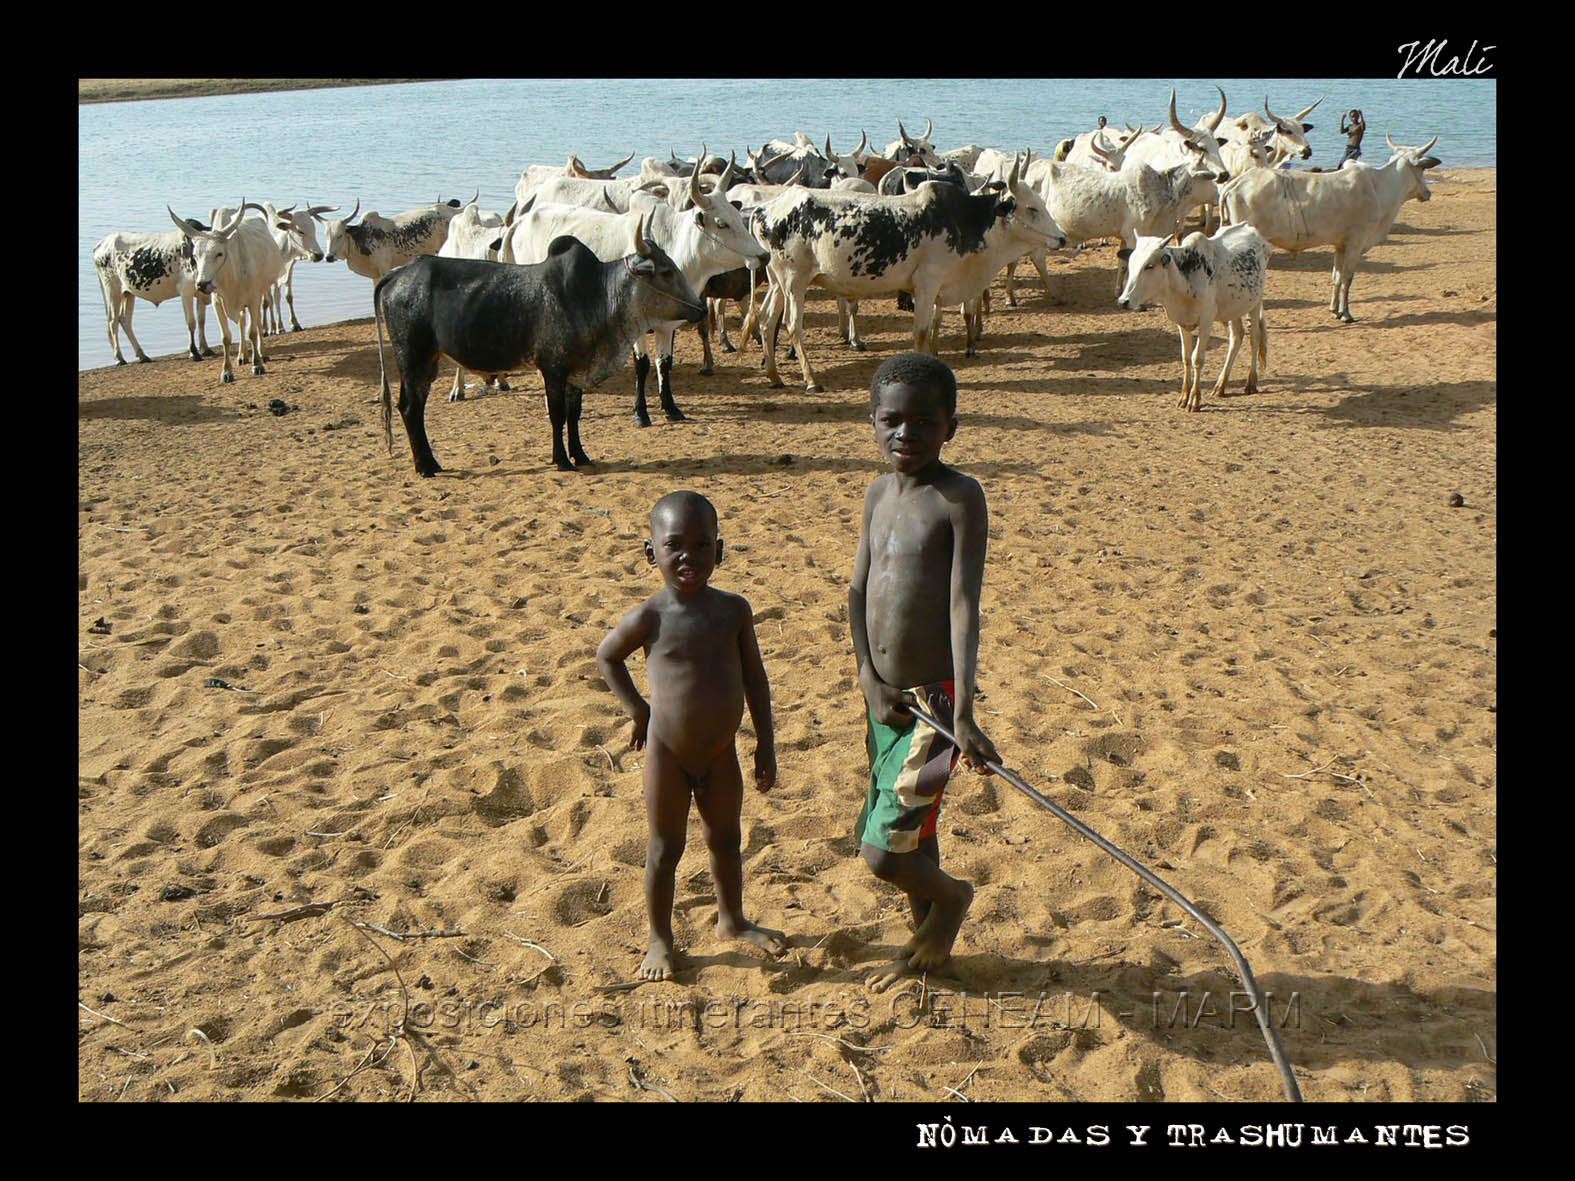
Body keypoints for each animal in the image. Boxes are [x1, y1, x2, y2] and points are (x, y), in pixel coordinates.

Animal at [92, 223, 215, 363]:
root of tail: (101, 244)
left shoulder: (201, 294)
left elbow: (201, 320)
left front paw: (205, 349)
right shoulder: (186, 291)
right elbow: (191, 322)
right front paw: (194, 353)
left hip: (128, 292)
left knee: (124, 320)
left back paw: (142, 355)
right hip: (112, 290)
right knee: (113, 321)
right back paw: (119, 358)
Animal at [373, 215, 702, 475]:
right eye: (665, 272)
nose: (700, 308)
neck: (598, 295)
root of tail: (398, 274)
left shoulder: (576, 372)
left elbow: (573, 414)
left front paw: (580, 455)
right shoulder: (553, 368)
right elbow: (557, 414)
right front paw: (561, 460)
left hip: (426, 363)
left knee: (413, 407)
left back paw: (431, 463)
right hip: (413, 359)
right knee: (410, 408)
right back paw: (425, 466)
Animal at [500, 165, 765, 425]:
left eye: (736, 216)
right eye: (721, 223)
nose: (763, 255)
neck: (675, 245)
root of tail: (520, 222)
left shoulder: (667, 326)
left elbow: (664, 363)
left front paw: (670, 408)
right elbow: (643, 364)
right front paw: (641, 413)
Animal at [1115, 223, 1272, 412]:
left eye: (1149, 266)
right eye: (1131, 263)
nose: (1123, 301)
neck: (1184, 281)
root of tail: (1253, 231)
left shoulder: (1206, 321)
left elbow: (1197, 358)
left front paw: (1194, 400)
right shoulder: (1181, 322)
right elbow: (1186, 357)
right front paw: (1184, 397)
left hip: (1255, 303)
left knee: (1254, 338)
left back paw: (1251, 382)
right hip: (1233, 308)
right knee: (1237, 337)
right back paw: (1221, 385)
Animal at [1215, 136, 1442, 321]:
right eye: (1422, 168)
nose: (1428, 193)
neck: (1379, 187)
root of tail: (1237, 182)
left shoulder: (1340, 245)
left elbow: (1337, 277)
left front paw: (1334, 310)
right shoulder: (1355, 243)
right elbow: (1348, 278)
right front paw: (1346, 314)